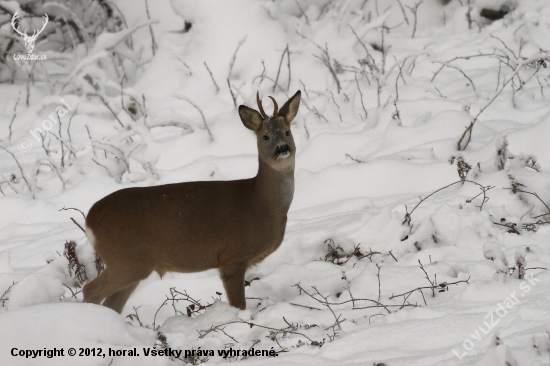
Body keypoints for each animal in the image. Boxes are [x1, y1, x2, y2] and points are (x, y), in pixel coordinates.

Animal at [82, 91, 302, 312]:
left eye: (287, 132)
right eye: (265, 136)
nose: (282, 148)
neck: (261, 202)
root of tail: (90, 219)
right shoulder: (232, 257)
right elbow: (239, 304)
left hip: (134, 266)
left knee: (112, 303)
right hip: (125, 260)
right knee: (90, 290)